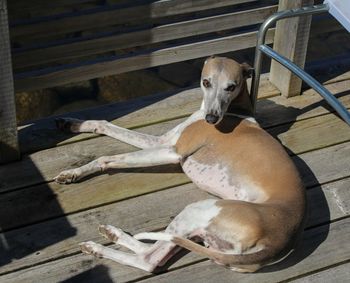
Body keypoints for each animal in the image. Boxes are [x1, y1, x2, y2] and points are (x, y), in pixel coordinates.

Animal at [55, 56, 306, 274]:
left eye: (231, 86)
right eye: (206, 82)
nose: (211, 119)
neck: (234, 111)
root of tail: (275, 244)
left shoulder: (173, 151)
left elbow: (107, 158)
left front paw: (74, 172)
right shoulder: (164, 141)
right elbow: (106, 124)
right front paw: (73, 124)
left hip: (200, 210)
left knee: (149, 258)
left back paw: (99, 245)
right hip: (203, 235)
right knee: (157, 248)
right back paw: (112, 234)